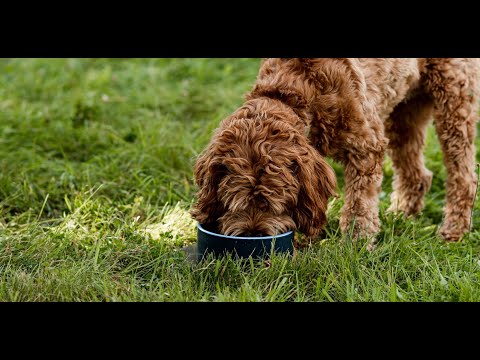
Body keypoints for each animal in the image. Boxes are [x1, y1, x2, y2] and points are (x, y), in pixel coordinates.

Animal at [191, 59, 480, 246]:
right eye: (234, 202)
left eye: (271, 202)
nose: (254, 234)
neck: (297, 89)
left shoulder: (366, 147)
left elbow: (358, 208)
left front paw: (355, 246)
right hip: (404, 113)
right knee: (417, 173)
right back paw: (402, 213)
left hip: (453, 99)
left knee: (464, 176)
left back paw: (453, 231)